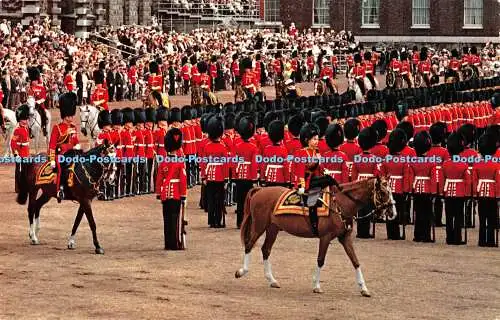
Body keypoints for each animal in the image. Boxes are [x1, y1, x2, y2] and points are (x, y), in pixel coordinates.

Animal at [236, 176, 396, 296]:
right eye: (383, 192)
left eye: (390, 190)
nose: (393, 213)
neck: (340, 204)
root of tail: (260, 189)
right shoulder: (325, 237)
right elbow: (320, 260)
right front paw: (316, 285)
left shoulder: (345, 238)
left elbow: (355, 261)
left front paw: (364, 288)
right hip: (259, 226)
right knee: (249, 245)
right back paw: (242, 271)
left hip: (273, 228)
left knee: (266, 250)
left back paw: (272, 280)